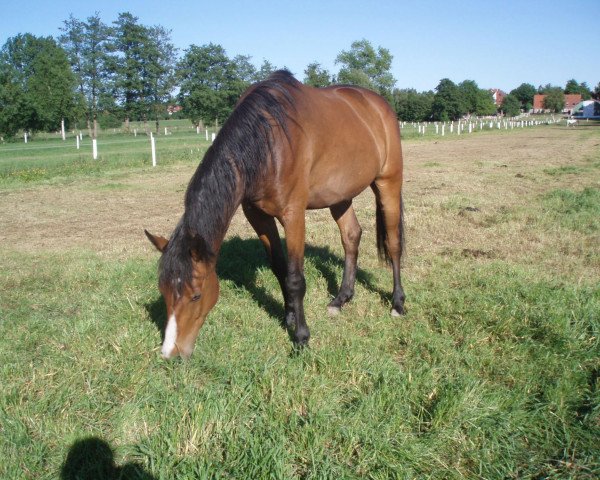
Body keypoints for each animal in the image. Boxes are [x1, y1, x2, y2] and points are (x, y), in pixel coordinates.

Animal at [145, 69, 406, 358]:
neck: (268, 143)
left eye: (196, 296)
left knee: (394, 243)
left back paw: (397, 303)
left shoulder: (294, 216)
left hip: (388, 183)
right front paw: (289, 316)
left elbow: (295, 278)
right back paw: (341, 299)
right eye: (164, 292)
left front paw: (301, 338)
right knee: (351, 236)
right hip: (340, 196)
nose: (170, 352)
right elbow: (279, 267)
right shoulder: (257, 216)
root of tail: (378, 104)